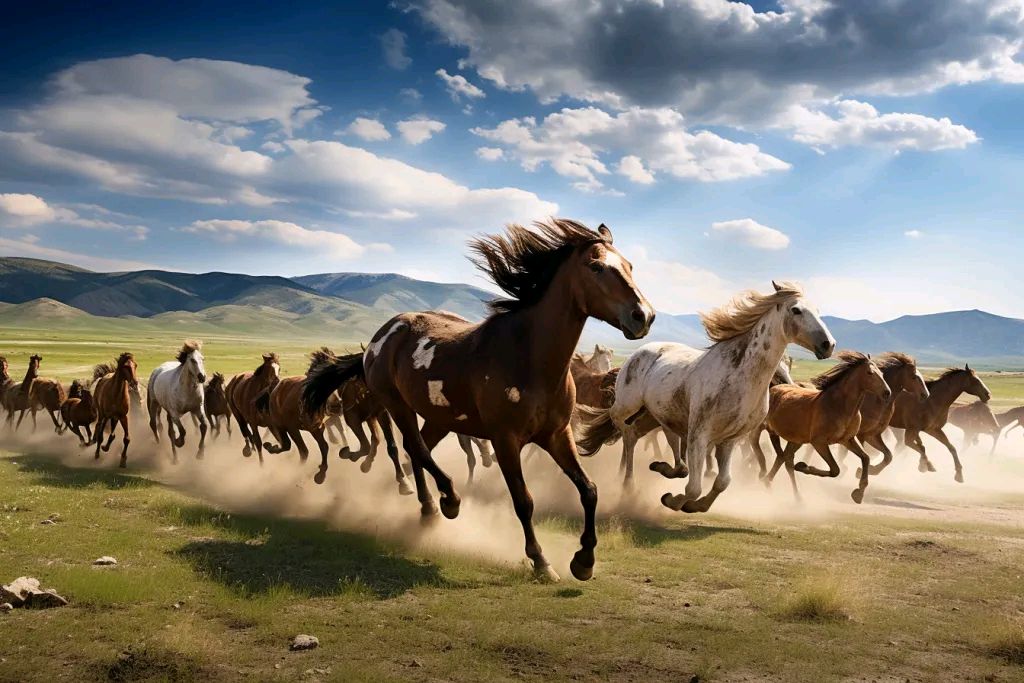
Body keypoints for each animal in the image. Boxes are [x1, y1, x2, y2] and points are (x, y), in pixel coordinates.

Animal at [304, 218, 655, 582]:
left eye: (629, 266)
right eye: (596, 267)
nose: (643, 316)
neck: (528, 357)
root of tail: (379, 338)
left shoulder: (557, 435)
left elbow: (589, 490)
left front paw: (584, 561)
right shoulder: (505, 440)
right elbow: (524, 500)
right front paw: (541, 561)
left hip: (440, 418)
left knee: (419, 449)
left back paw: (429, 510)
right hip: (397, 405)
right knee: (415, 448)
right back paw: (449, 501)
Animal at [577, 281, 834, 515]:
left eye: (818, 311)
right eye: (796, 310)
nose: (828, 345)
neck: (740, 376)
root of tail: (640, 352)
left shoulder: (729, 439)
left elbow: (722, 482)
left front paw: (696, 506)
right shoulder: (699, 435)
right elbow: (694, 487)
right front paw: (673, 500)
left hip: (657, 415)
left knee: (656, 443)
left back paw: (660, 467)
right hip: (627, 406)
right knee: (625, 431)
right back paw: (628, 482)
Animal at [764, 351, 891, 503]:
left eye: (882, 373)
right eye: (870, 372)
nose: (887, 392)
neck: (839, 407)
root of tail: (773, 388)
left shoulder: (848, 440)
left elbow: (865, 458)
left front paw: (858, 494)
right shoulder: (819, 442)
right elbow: (835, 470)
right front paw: (803, 466)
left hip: (796, 440)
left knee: (785, 458)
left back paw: (780, 488)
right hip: (768, 431)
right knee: (780, 456)